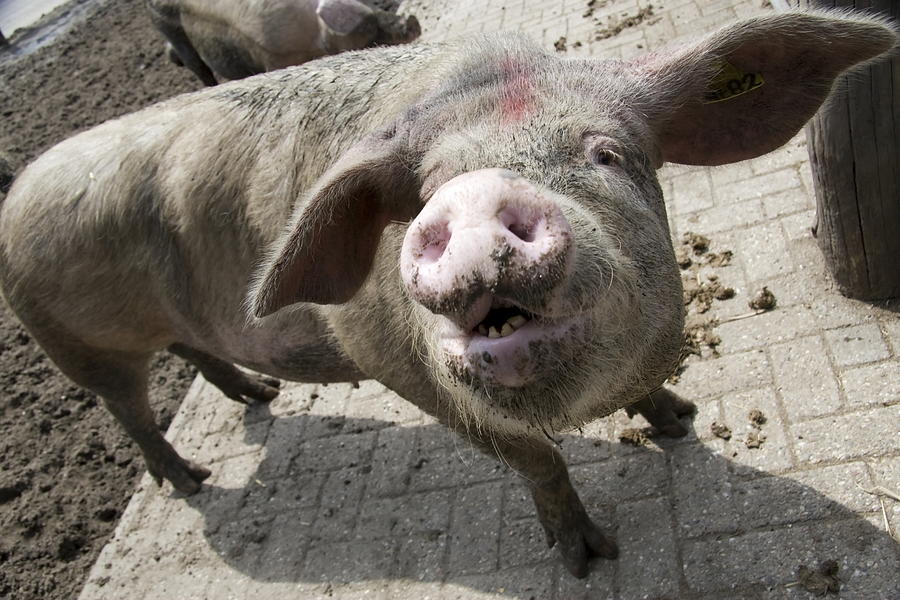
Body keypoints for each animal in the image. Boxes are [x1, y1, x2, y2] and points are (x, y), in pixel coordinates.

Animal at [0, 9, 896, 580]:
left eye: (605, 152)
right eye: (425, 192)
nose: (465, 201)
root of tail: (14, 199)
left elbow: (650, 402)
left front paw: (682, 423)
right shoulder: (395, 365)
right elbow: (537, 460)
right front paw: (589, 562)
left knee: (194, 353)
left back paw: (258, 398)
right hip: (77, 348)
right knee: (130, 414)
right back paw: (191, 481)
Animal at [145, 0, 422, 85]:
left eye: (373, 8)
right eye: (369, 32)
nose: (411, 21)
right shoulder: (274, 58)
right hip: (166, 25)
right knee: (198, 66)